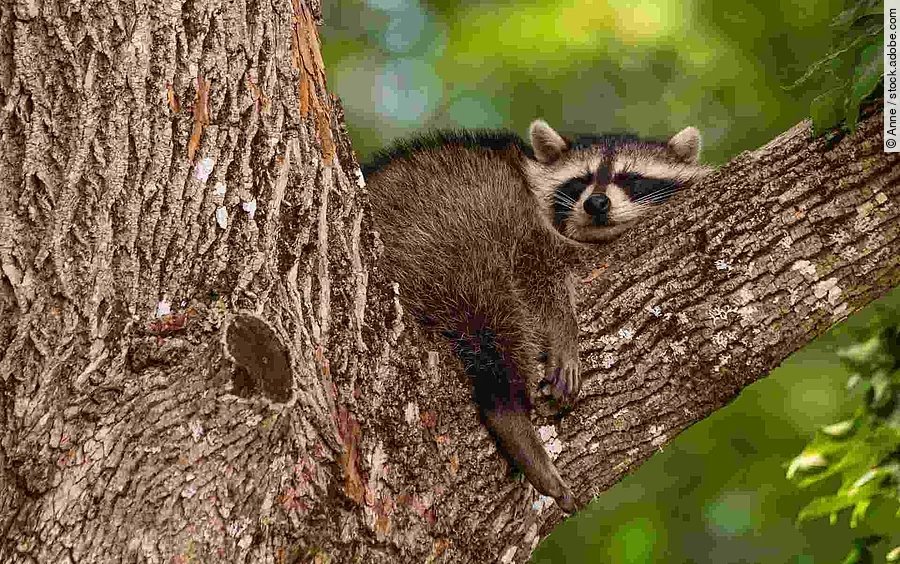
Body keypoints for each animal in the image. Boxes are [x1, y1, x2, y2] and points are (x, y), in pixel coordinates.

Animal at [364, 120, 709, 513]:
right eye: (581, 180)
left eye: (630, 178)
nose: (596, 203)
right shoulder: (526, 225)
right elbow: (536, 273)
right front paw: (563, 330)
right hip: (437, 230)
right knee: (490, 308)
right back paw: (506, 405)